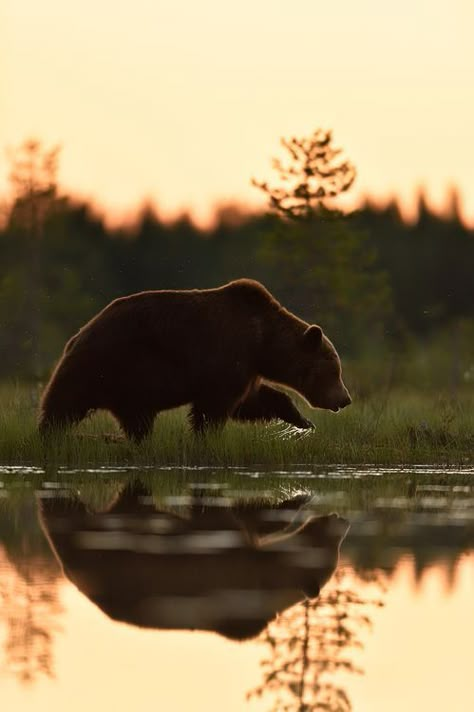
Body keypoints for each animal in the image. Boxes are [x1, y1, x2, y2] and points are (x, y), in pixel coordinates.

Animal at [39, 278, 350, 440]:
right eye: (335, 371)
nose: (345, 399)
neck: (262, 341)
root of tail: (78, 334)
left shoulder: (245, 368)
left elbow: (254, 400)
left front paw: (302, 420)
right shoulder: (227, 354)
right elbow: (215, 407)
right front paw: (206, 436)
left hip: (128, 386)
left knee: (136, 418)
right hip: (106, 364)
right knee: (63, 404)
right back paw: (49, 434)